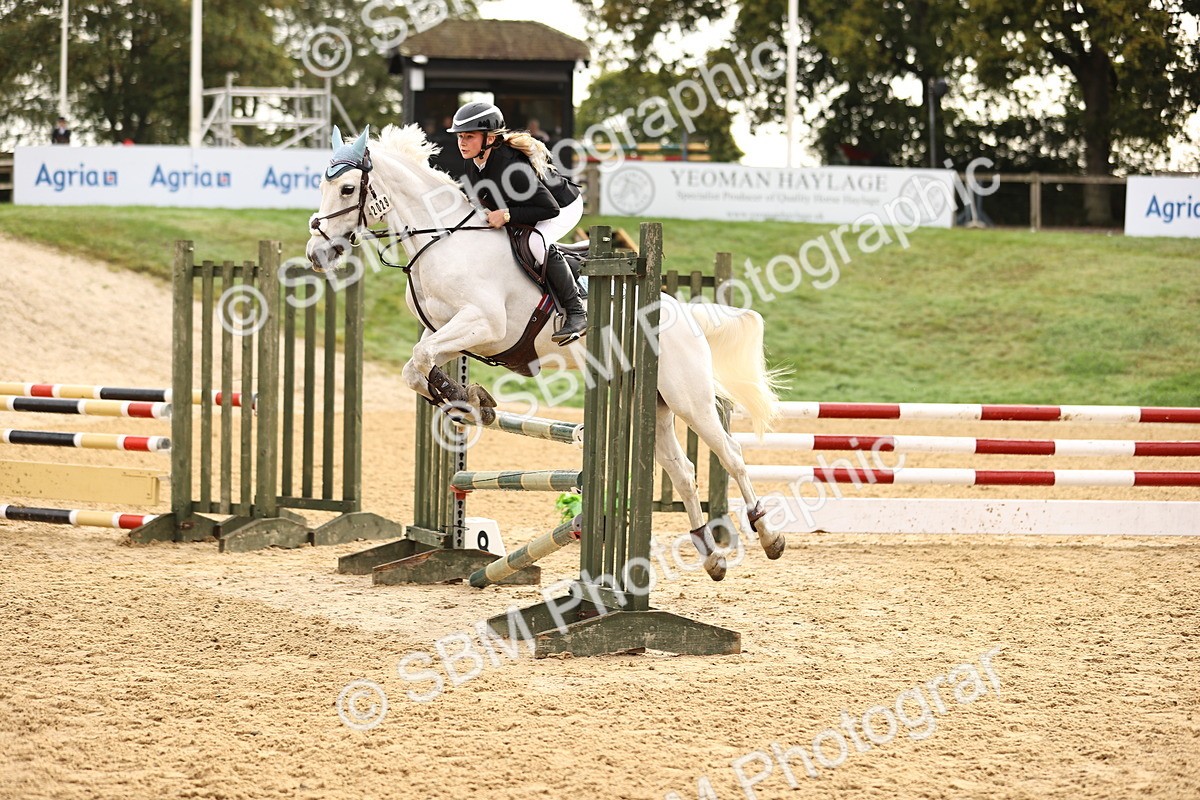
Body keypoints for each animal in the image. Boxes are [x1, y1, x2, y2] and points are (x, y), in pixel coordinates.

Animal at [305, 124, 785, 580]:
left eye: (347, 189)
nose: (315, 253)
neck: (441, 240)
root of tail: (683, 313)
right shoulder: (444, 330)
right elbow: (416, 366)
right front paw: (469, 400)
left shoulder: (484, 324)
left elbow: (419, 361)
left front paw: (467, 400)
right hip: (654, 404)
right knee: (682, 471)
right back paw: (711, 557)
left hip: (690, 399)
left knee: (731, 455)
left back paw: (766, 533)